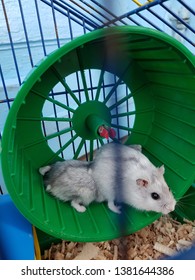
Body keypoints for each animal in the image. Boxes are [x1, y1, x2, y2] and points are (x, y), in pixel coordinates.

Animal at [38, 143, 176, 213]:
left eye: (169, 188)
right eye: (155, 196)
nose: (172, 208)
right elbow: (110, 205)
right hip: (99, 192)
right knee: (106, 204)